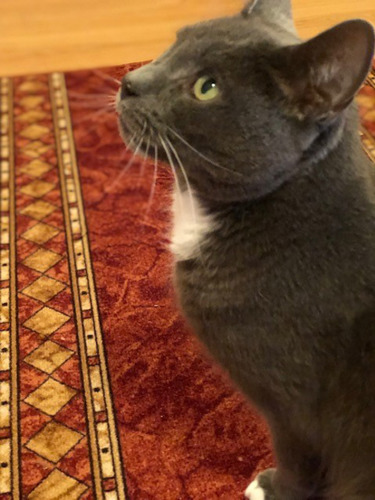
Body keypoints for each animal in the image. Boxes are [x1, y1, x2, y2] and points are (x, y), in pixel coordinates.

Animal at [117, 1, 375, 498]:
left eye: (206, 87)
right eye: (174, 43)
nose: (130, 81)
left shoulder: (294, 413)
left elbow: (299, 464)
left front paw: (271, 487)